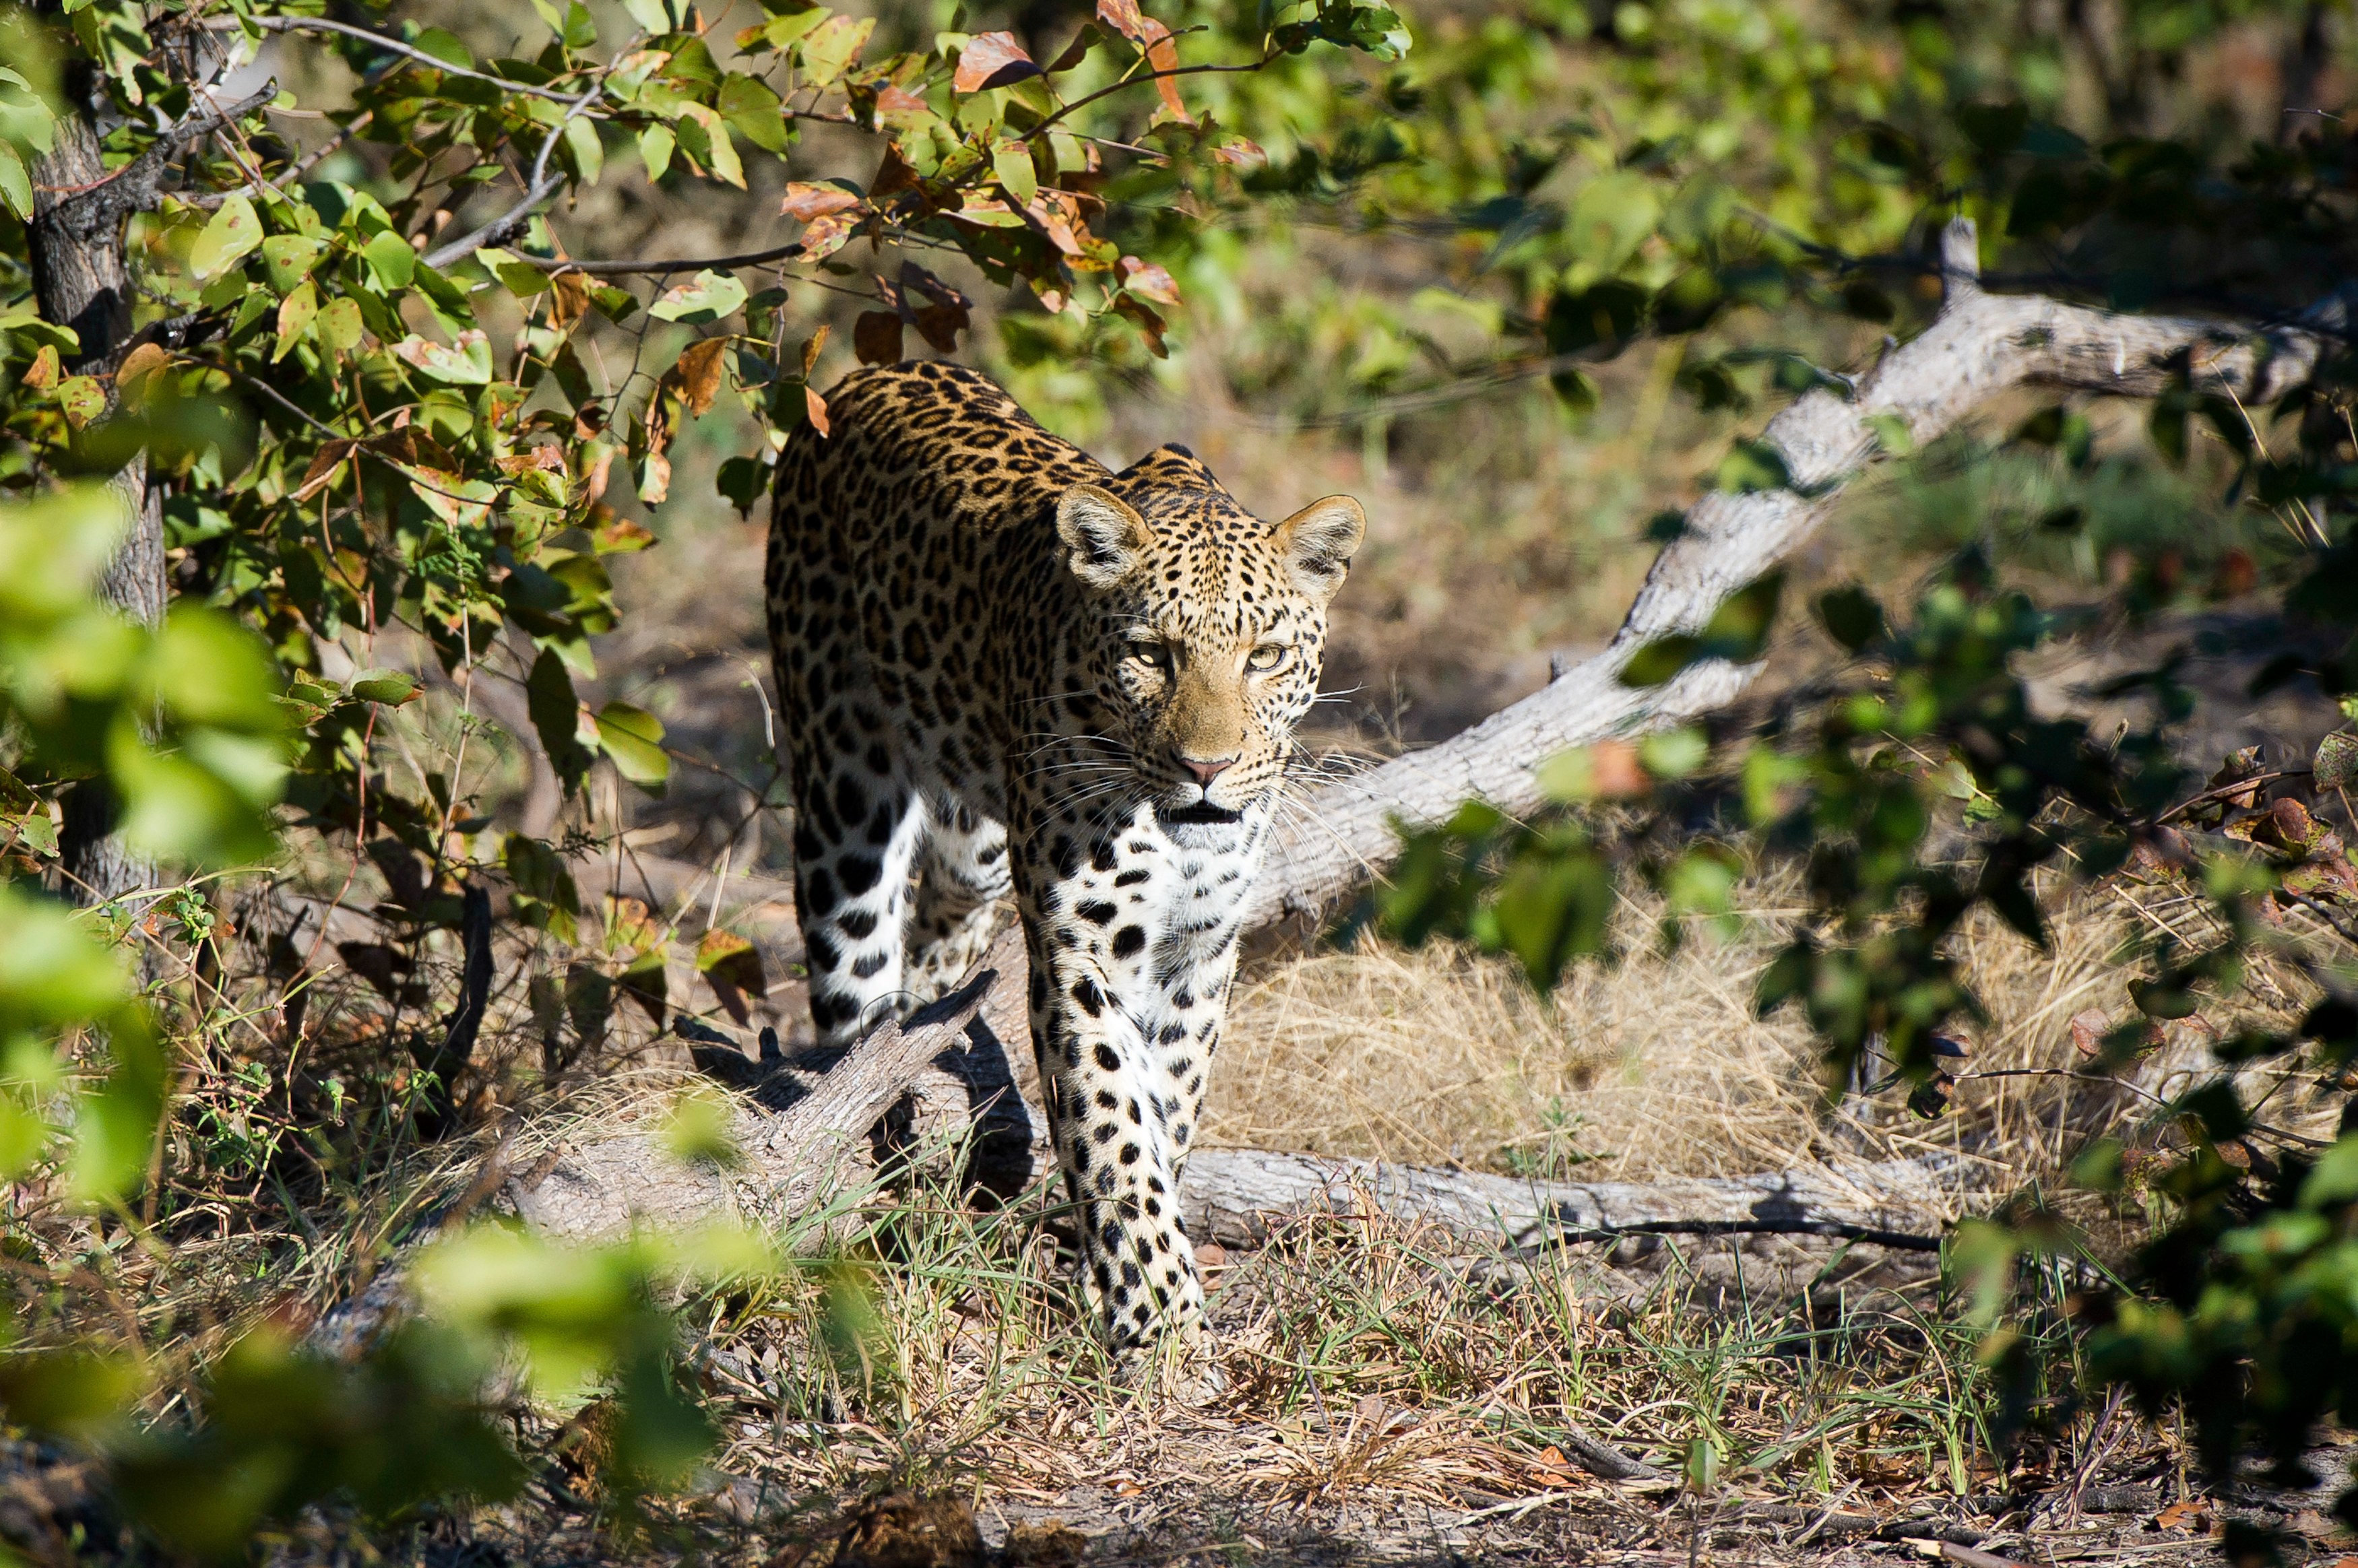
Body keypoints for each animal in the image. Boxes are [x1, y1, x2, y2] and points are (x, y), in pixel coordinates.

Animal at [764, 359, 1362, 1373]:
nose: (1208, 768)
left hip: (977, 841)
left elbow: (1165, 1109)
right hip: (844, 789)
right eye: (1150, 655)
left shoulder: (1200, 951)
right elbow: (1113, 1124)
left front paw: (1111, 1279)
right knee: (851, 971)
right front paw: (1162, 1328)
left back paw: (930, 1030)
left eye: (1266, 656)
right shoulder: (1082, 945)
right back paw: (868, 1133)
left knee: (944, 922)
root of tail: (862, 375)